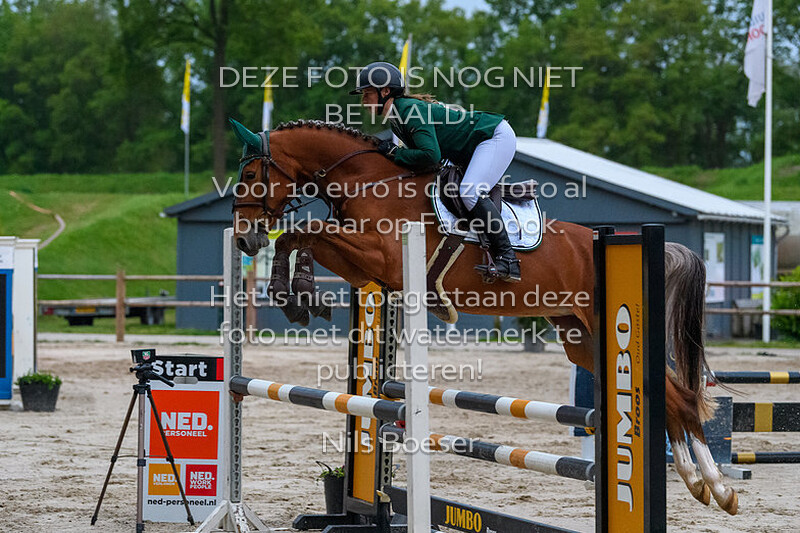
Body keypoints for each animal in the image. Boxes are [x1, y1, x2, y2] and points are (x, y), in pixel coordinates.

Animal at [228, 118, 738, 515]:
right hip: (582, 337)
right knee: (670, 398)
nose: (243, 239)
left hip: (600, 325)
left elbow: (305, 230)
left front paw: (294, 293)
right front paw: (296, 295)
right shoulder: (367, 269)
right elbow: (301, 235)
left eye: (250, 172)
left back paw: (717, 486)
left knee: (680, 396)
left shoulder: (380, 257)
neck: (369, 180)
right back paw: (701, 483)